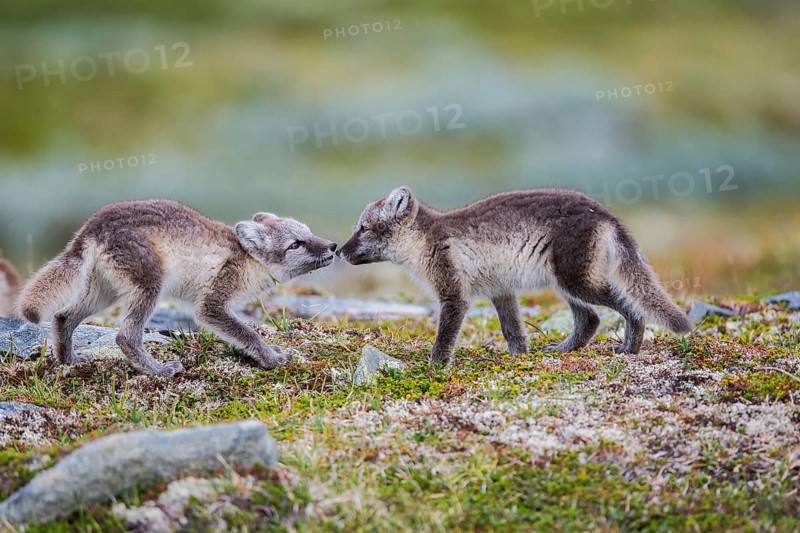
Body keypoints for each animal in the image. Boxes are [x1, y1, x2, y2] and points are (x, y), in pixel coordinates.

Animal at [17, 200, 337, 377]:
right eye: (295, 244)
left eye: (309, 232)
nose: (334, 246)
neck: (248, 259)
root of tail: (90, 227)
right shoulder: (212, 305)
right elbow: (248, 334)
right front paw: (271, 359)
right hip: (149, 286)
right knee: (125, 337)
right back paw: (158, 371)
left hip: (103, 294)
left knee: (62, 317)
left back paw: (69, 361)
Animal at [339, 187, 692, 365]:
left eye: (363, 228)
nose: (340, 251)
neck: (426, 240)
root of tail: (606, 214)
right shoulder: (501, 290)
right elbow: (513, 330)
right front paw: (519, 358)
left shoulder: (454, 295)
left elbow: (444, 339)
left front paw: (434, 369)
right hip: (566, 283)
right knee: (590, 319)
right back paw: (564, 350)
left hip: (574, 280)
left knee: (627, 305)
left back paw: (630, 347)